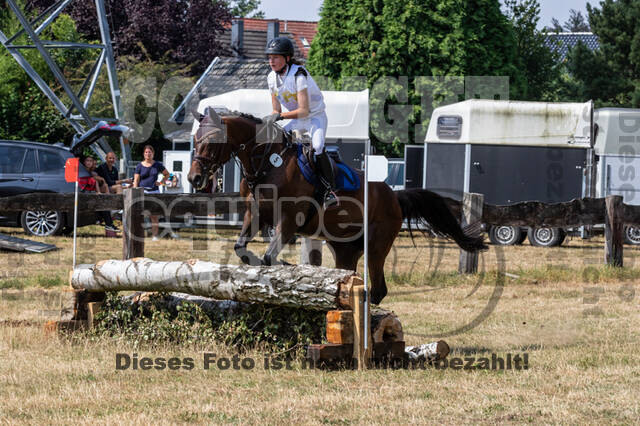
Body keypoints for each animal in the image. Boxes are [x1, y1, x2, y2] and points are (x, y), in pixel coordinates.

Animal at [188, 108, 488, 304]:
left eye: (211, 142)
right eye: (195, 140)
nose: (195, 178)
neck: (268, 164)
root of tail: (394, 196)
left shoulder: (289, 219)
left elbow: (270, 258)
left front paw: (282, 266)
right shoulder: (256, 214)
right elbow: (242, 248)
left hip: (376, 245)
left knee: (377, 290)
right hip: (345, 248)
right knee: (353, 277)